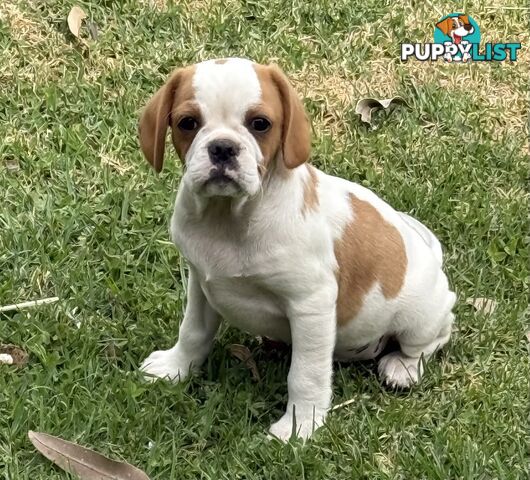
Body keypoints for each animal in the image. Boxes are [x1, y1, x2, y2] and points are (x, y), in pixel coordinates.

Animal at [137, 58, 454, 440]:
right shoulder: (201, 284)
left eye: (260, 124)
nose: (223, 148)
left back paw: (402, 368)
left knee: (433, 337)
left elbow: (305, 375)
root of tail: (431, 255)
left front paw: (298, 426)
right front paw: (176, 367)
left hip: (419, 316)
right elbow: (193, 332)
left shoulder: (311, 305)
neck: (228, 220)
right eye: (188, 123)